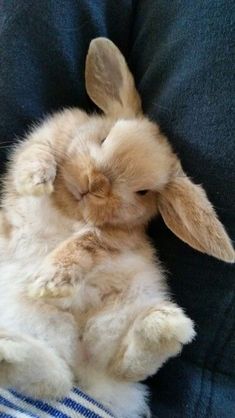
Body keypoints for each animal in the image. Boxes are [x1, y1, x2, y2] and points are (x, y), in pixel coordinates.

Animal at [0, 37, 233, 416]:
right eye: (106, 137)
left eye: (144, 191)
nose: (94, 184)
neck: (70, 207)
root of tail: (83, 364)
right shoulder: (43, 138)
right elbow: (38, 153)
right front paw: (34, 181)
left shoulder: (116, 240)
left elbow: (88, 240)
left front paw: (50, 280)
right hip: (28, 317)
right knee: (54, 378)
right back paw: (9, 350)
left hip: (121, 313)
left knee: (116, 367)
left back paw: (164, 327)